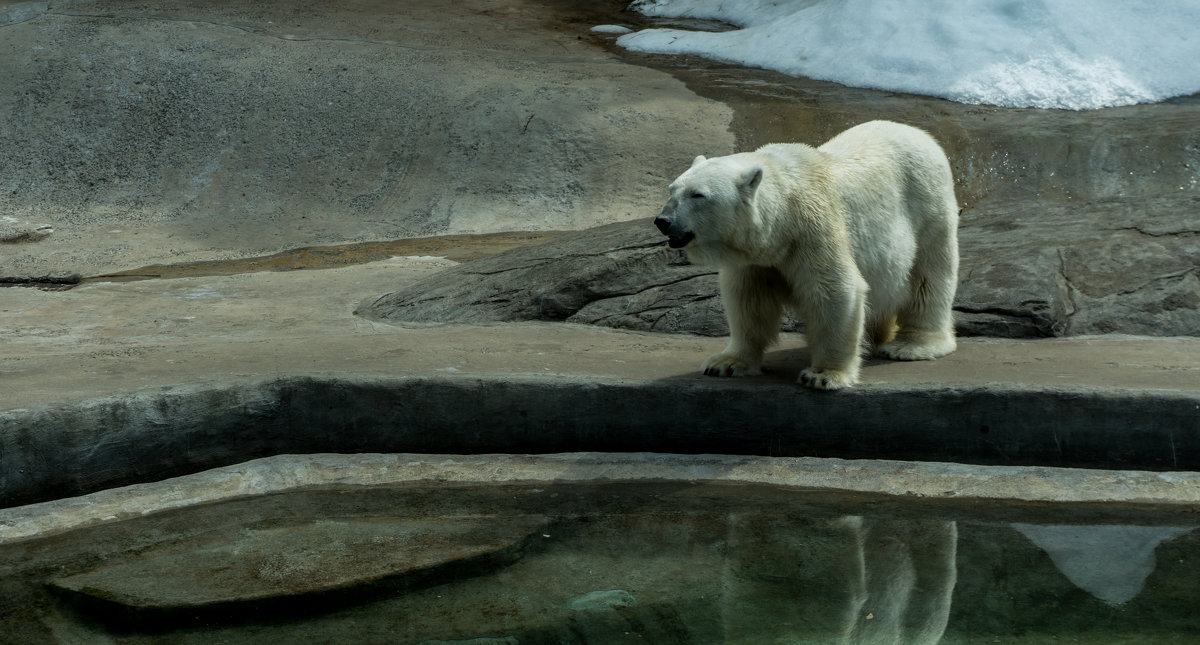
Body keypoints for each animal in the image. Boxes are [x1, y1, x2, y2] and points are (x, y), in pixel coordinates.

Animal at [652, 121, 960, 390]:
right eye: (672, 189)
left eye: (698, 195)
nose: (663, 221)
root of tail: (921, 134)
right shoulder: (755, 258)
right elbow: (747, 300)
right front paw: (725, 363)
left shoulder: (812, 229)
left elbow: (834, 291)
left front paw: (823, 375)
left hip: (928, 204)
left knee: (929, 276)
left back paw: (911, 345)